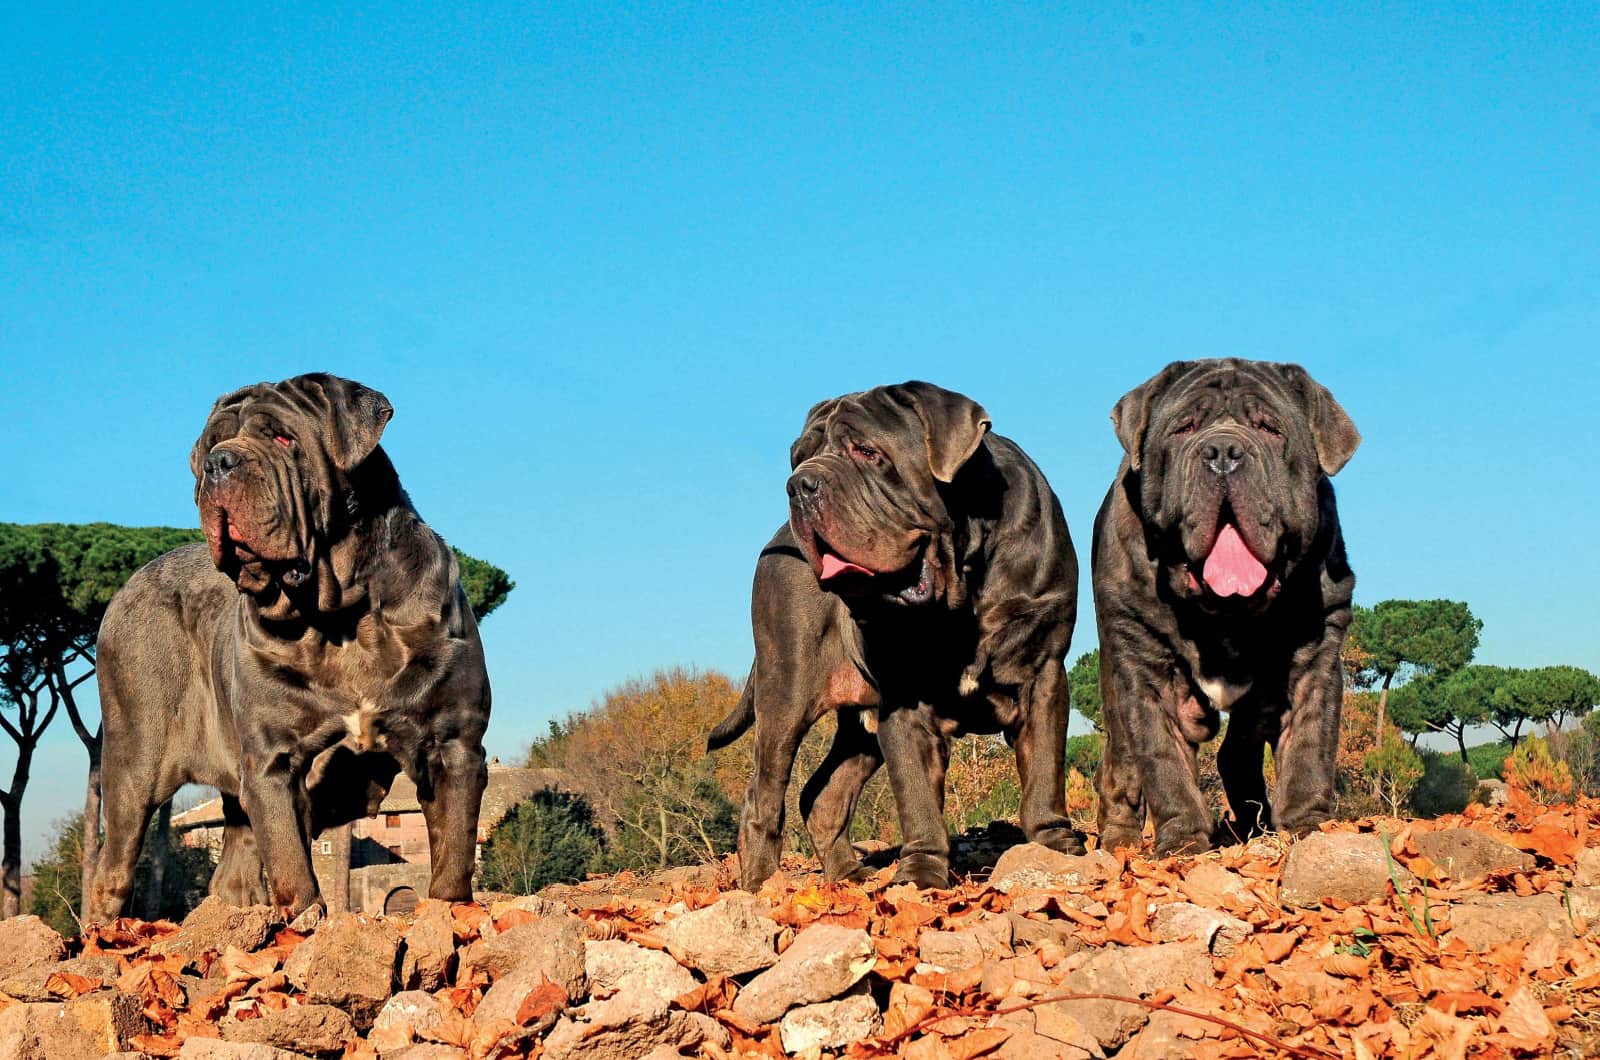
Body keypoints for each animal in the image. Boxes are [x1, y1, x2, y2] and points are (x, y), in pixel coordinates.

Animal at [86, 373, 486, 922]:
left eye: (282, 438)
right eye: (211, 445)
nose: (218, 463)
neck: (341, 615)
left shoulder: (454, 745)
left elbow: (453, 857)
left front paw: (448, 919)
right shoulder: (272, 763)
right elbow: (293, 868)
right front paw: (305, 926)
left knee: (231, 873)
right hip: (133, 763)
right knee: (113, 869)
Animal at [707, 384, 1081, 896]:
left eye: (868, 451)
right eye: (798, 457)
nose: (799, 485)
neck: (961, 585)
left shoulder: (1043, 674)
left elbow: (1045, 768)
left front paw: (1053, 845)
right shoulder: (904, 699)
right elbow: (917, 794)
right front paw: (920, 875)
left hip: (857, 726)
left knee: (822, 794)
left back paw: (849, 876)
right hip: (785, 694)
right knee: (763, 797)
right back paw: (761, 887)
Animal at [1088, 361, 1363, 858]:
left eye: (1270, 428)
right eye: (1184, 428)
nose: (1223, 452)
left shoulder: (1315, 656)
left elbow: (1309, 750)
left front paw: (1307, 829)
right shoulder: (1145, 665)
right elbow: (1163, 761)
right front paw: (1182, 844)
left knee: (1237, 752)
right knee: (1123, 764)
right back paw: (1120, 841)